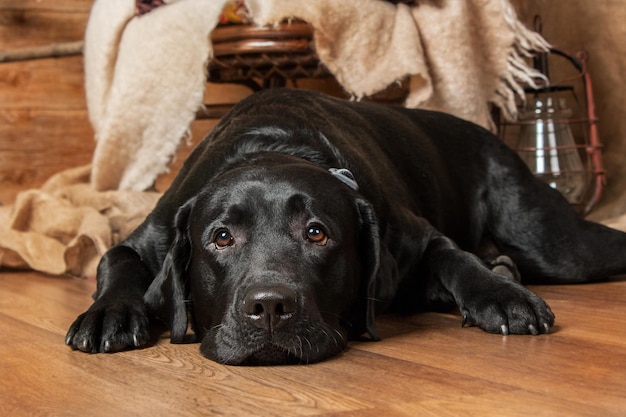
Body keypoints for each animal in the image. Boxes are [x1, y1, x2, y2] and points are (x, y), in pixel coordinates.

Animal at [66, 88, 624, 364]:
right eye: (221, 238)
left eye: (317, 233)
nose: (270, 308)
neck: (272, 145)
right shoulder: (150, 236)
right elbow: (115, 260)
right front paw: (107, 315)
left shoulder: (412, 234)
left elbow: (455, 256)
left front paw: (499, 294)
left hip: (553, 243)